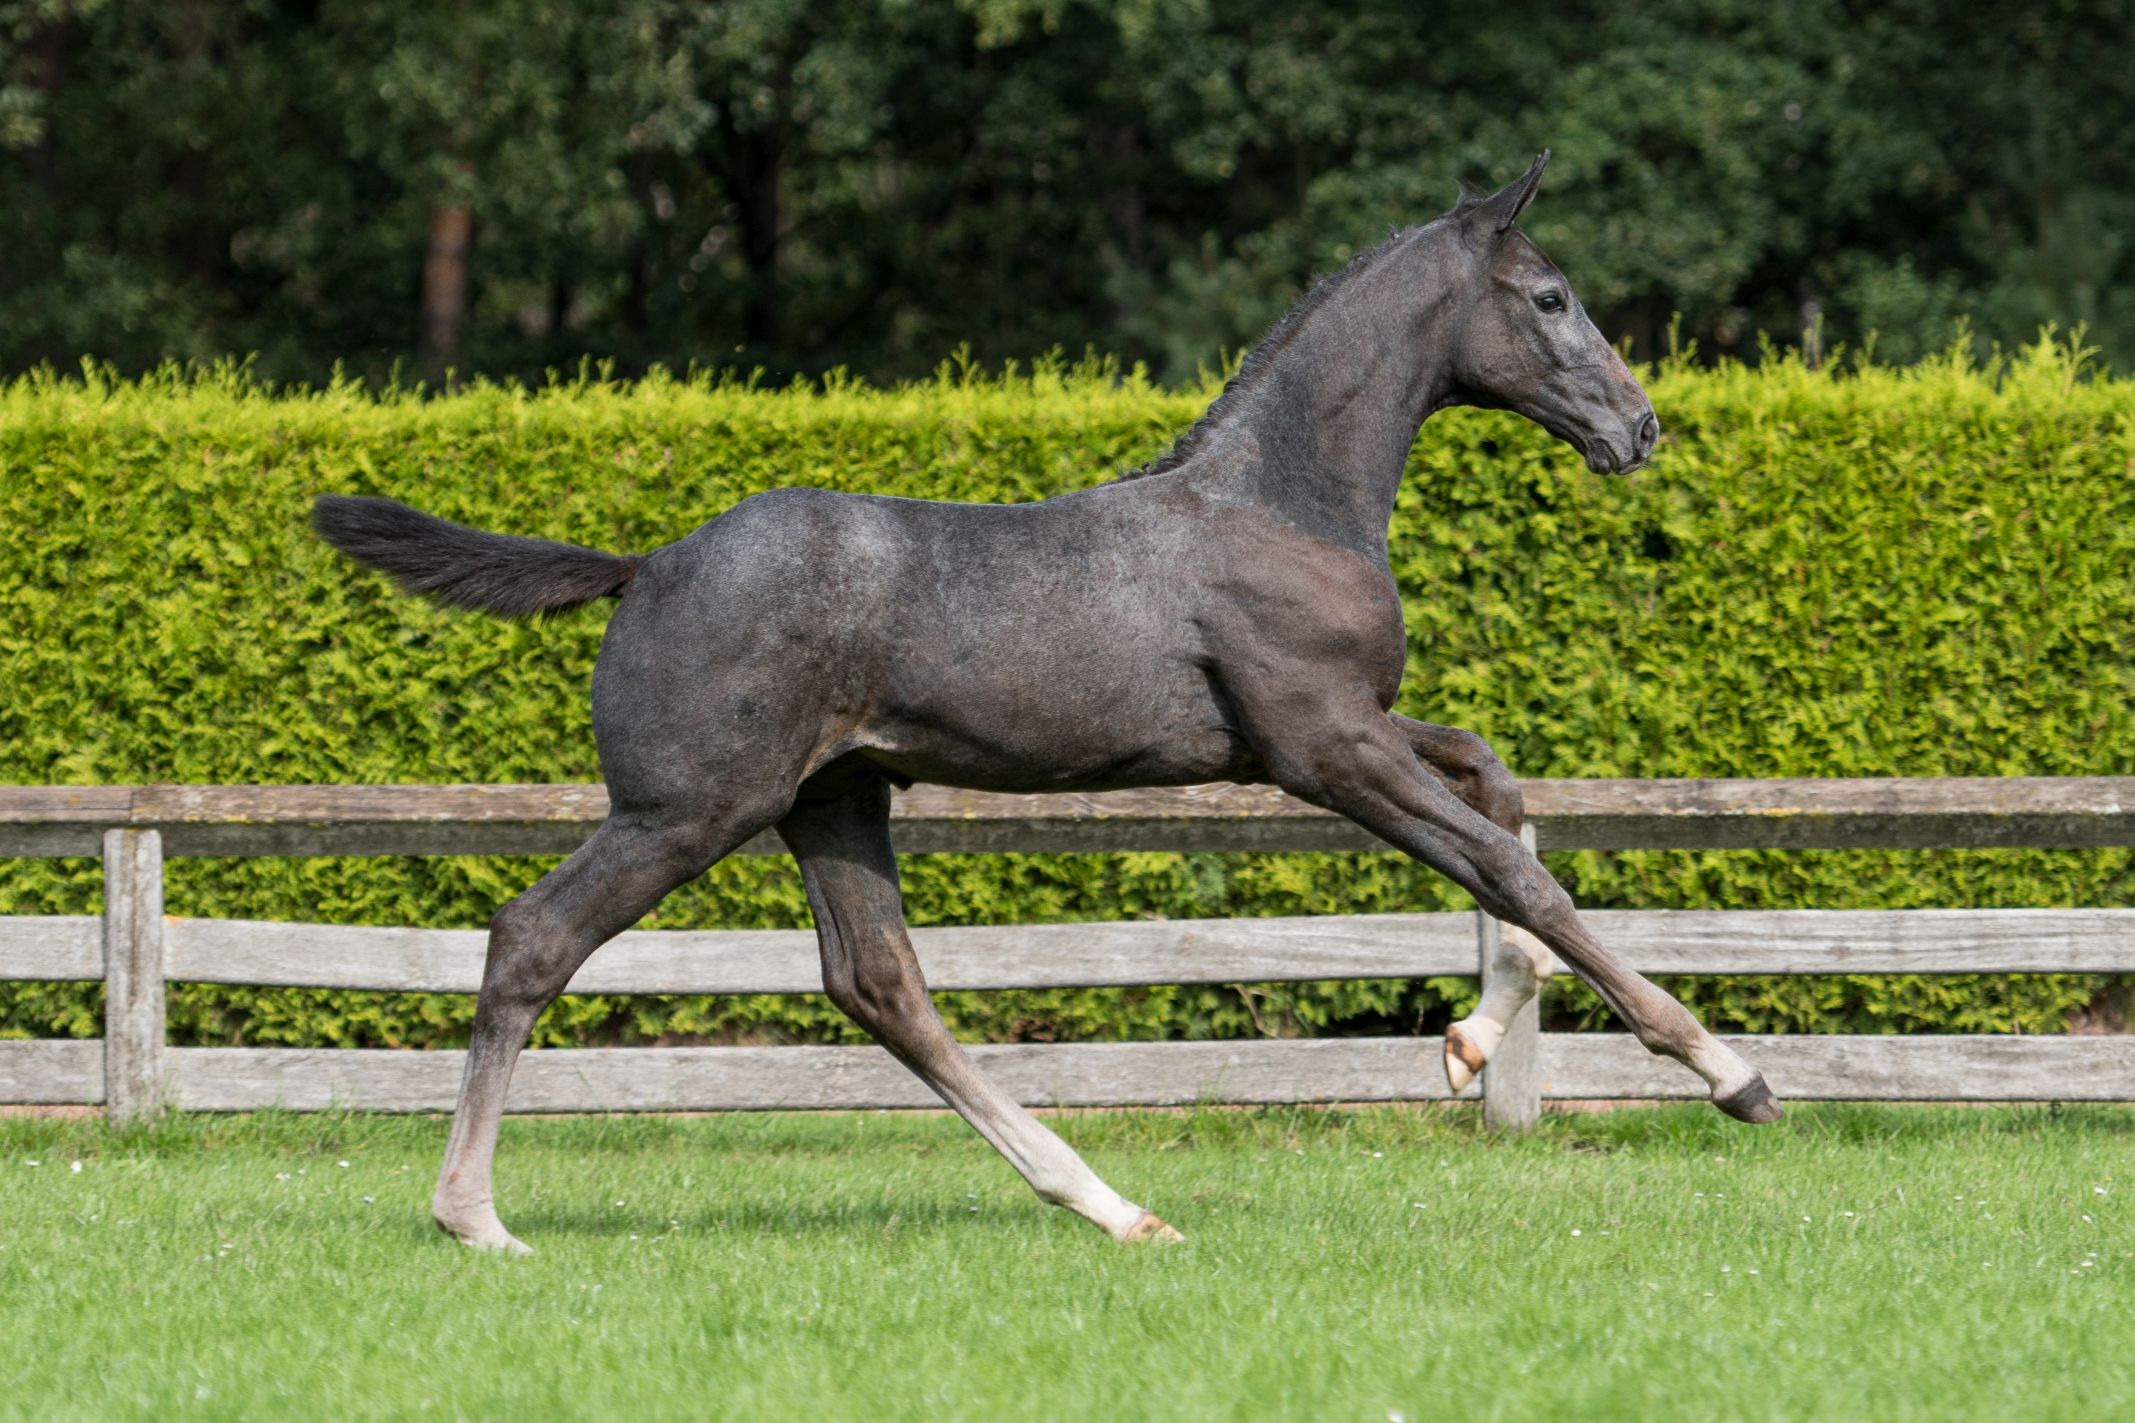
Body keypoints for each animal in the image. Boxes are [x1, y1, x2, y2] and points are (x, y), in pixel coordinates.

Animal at [314, 150, 1779, 1254]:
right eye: (1549, 295)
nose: (1638, 427)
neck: (1280, 499)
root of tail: (643, 563)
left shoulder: (1336, 729)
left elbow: (1497, 786)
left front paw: (1469, 1039)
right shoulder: (1323, 745)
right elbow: (1508, 866)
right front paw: (1730, 1071)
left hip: (831, 799)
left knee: (879, 985)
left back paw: (1108, 1203)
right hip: (686, 810)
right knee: (534, 936)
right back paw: (474, 1216)